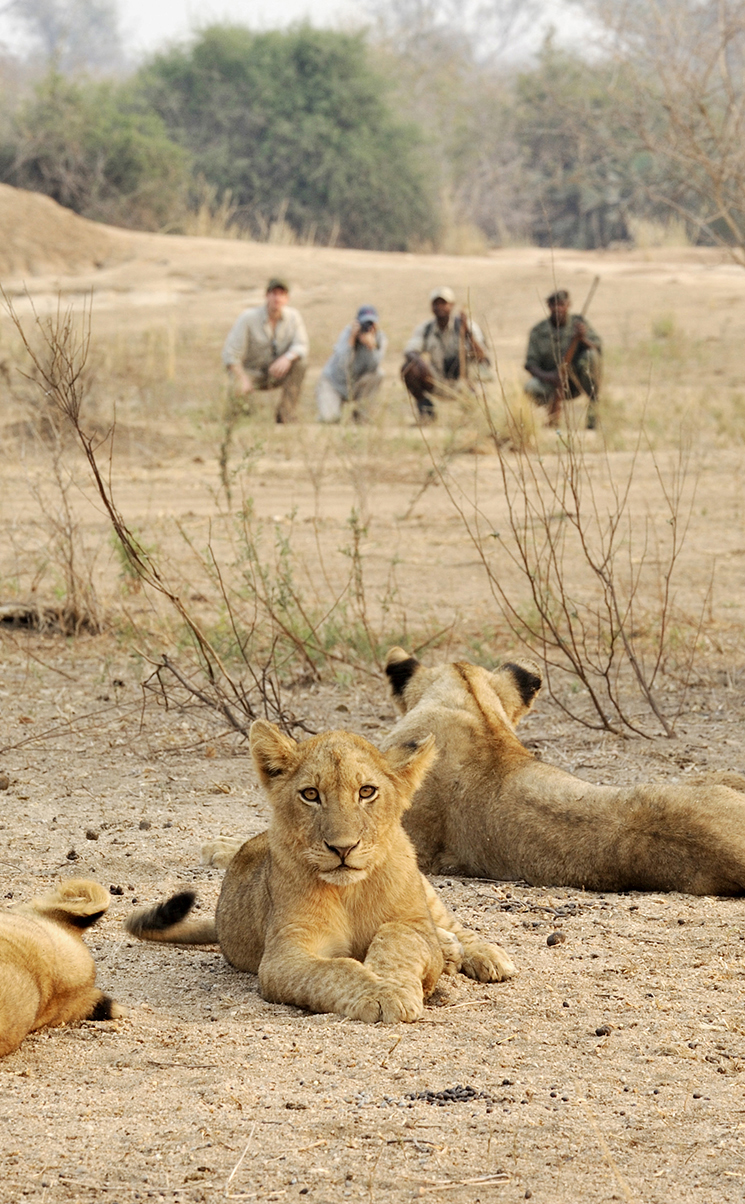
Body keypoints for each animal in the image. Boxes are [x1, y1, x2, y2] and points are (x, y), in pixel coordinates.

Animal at [126, 722, 515, 1024]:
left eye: (367, 791)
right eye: (311, 794)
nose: (342, 848)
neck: (350, 891)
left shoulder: (414, 924)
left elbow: (397, 936)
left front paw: (398, 984)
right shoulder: (285, 954)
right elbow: (336, 969)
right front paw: (381, 992)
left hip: (426, 890)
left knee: (452, 925)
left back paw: (483, 955)